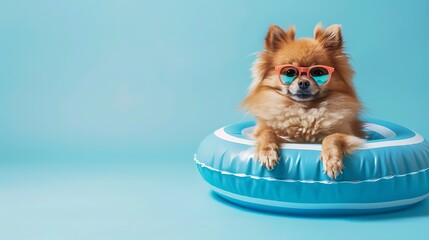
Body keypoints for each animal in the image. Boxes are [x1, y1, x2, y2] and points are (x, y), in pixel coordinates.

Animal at [241, 23, 364, 179]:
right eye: (289, 72)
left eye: (318, 73)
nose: (304, 82)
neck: (304, 111)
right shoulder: (261, 130)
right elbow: (267, 133)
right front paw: (267, 153)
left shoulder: (349, 135)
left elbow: (332, 137)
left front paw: (332, 160)